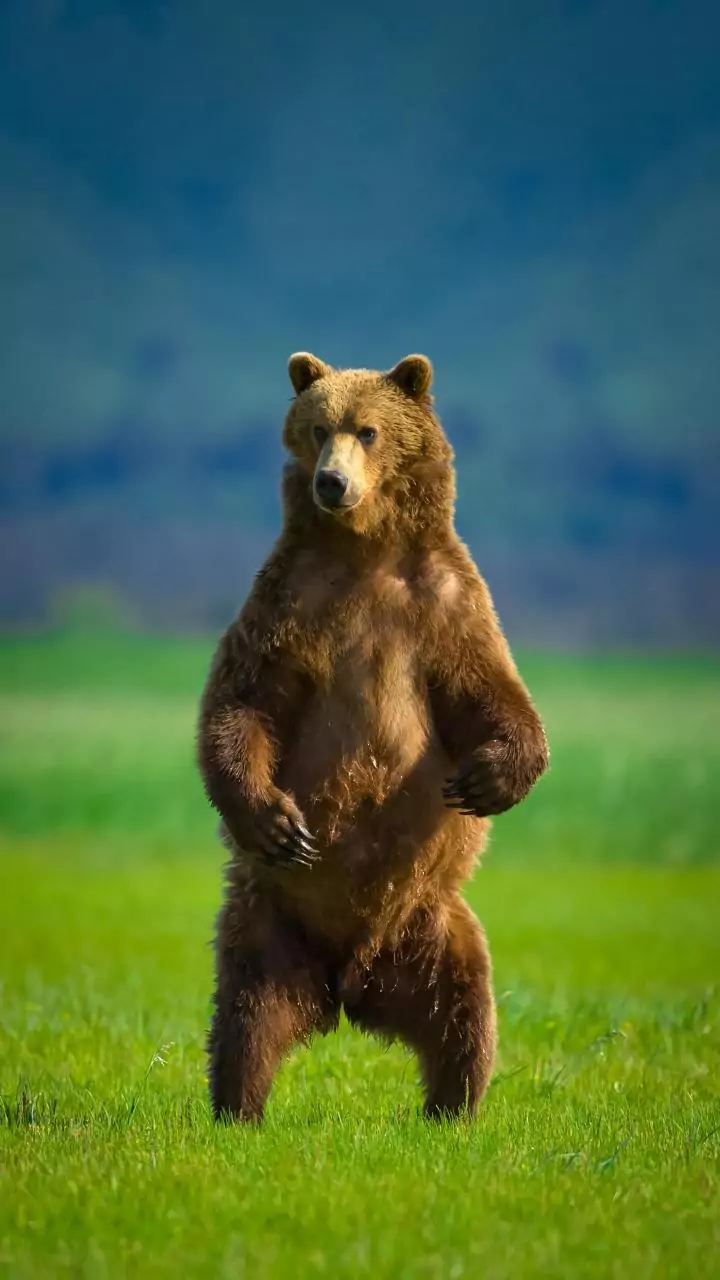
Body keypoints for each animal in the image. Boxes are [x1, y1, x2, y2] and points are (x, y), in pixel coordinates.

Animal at [197, 352, 548, 1122]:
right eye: (318, 427)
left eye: (369, 430)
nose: (331, 482)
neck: (366, 551)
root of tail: (349, 985)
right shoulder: (289, 601)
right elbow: (245, 703)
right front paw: (276, 821)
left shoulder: (447, 603)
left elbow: (491, 692)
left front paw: (484, 780)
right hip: (268, 923)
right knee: (245, 1014)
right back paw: (239, 1107)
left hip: (435, 923)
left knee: (465, 1010)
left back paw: (452, 1109)